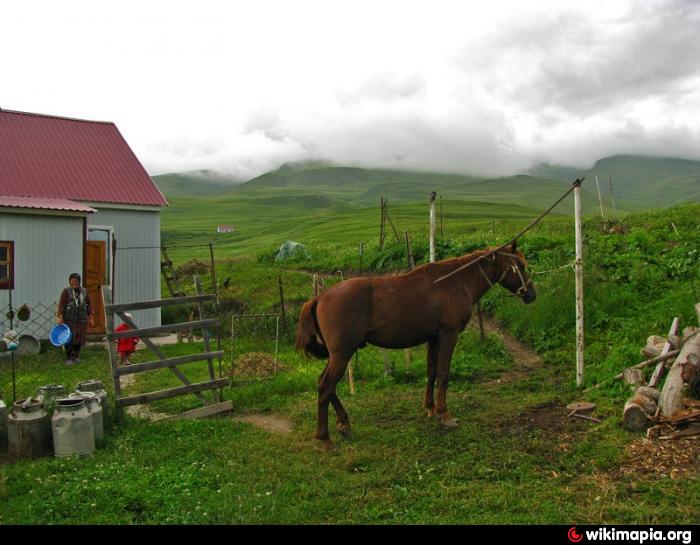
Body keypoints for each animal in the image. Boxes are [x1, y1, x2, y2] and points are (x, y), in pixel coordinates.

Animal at [296, 240, 536, 448]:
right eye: (521, 266)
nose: (532, 294)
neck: (455, 282)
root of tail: (319, 297)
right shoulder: (448, 335)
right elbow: (443, 373)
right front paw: (444, 414)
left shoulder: (434, 338)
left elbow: (431, 371)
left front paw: (430, 408)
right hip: (342, 354)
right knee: (326, 387)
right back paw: (325, 437)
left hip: (338, 355)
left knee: (325, 385)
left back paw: (344, 422)